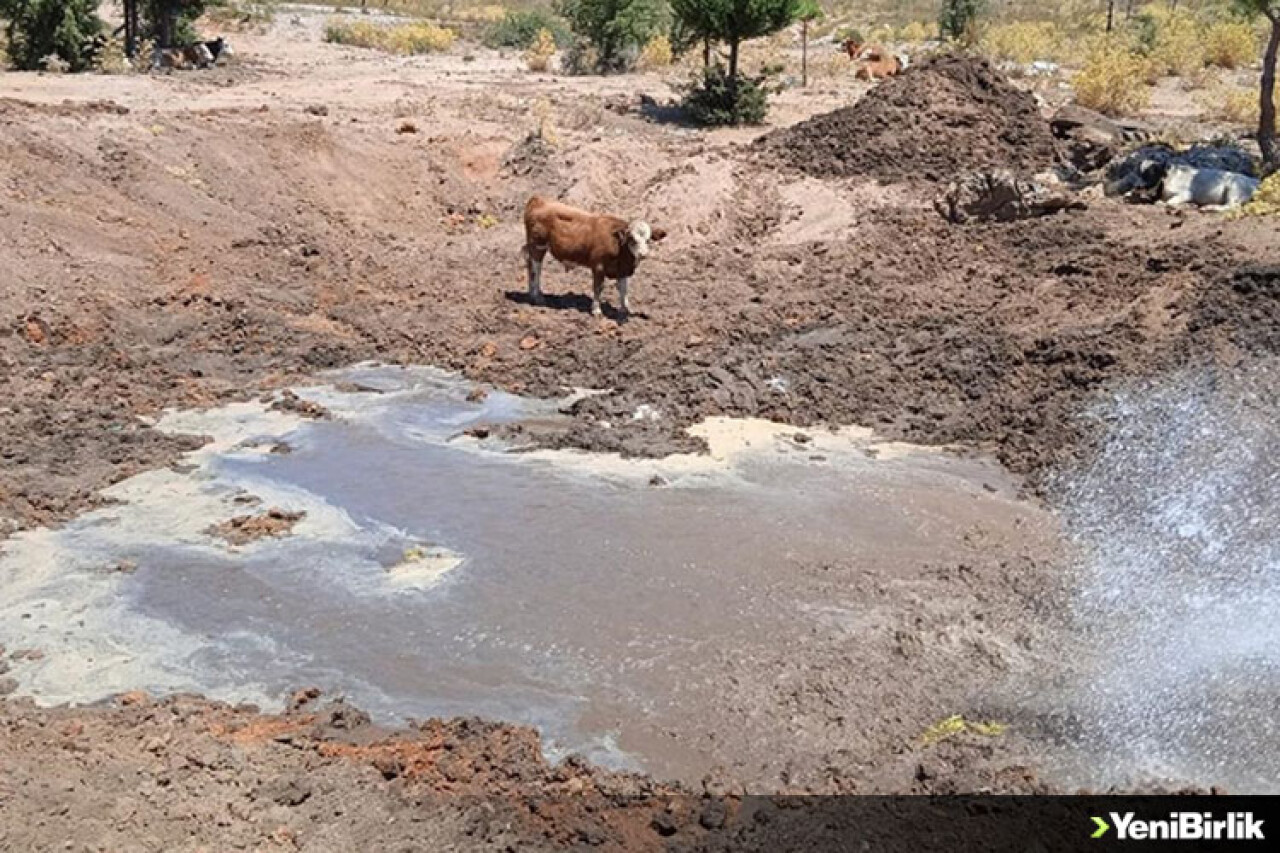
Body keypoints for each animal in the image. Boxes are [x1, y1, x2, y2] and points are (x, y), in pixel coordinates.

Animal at [522, 195, 670, 318]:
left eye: (648, 240)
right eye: (632, 239)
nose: (643, 254)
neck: (618, 245)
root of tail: (538, 199)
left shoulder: (623, 270)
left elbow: (623, 290)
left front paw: (625, 309)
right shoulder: (598, 266)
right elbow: (598, 287)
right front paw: (596, 310)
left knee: (530, 265)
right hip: (538, 246)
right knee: (536, 269)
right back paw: (537, 297)